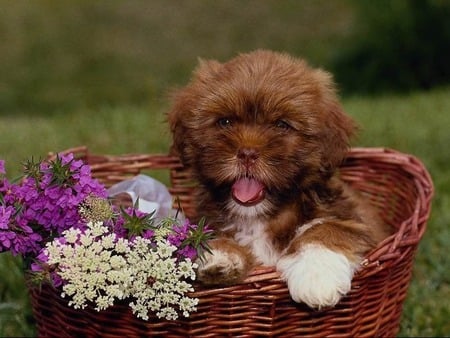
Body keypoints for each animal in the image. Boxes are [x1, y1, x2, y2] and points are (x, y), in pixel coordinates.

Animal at [167, 50, 392, 308]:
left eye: (282, 125)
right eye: (225, 122)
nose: (247, 153)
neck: (261, 216)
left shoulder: (353, 220)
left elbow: (327, 228)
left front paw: (316, 277)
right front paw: (221, 254)